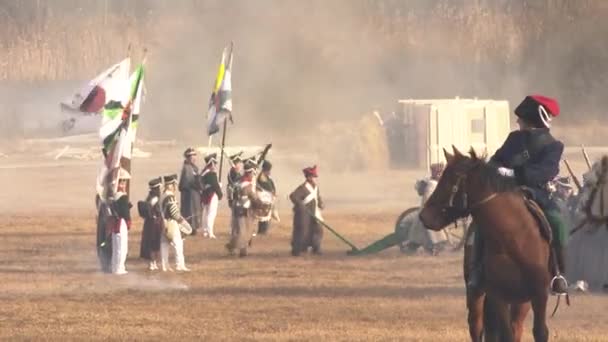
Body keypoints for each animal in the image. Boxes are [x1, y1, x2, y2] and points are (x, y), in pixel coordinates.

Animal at [420, 148, 552, 342]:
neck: (513, 238)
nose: (424, 216)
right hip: (477, 296)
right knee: (477, 326)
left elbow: (540, 331)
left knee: (516, 327)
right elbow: (505, 334)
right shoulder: (498, 295)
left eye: (452, 179)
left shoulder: (538, 294)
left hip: (521, 301)